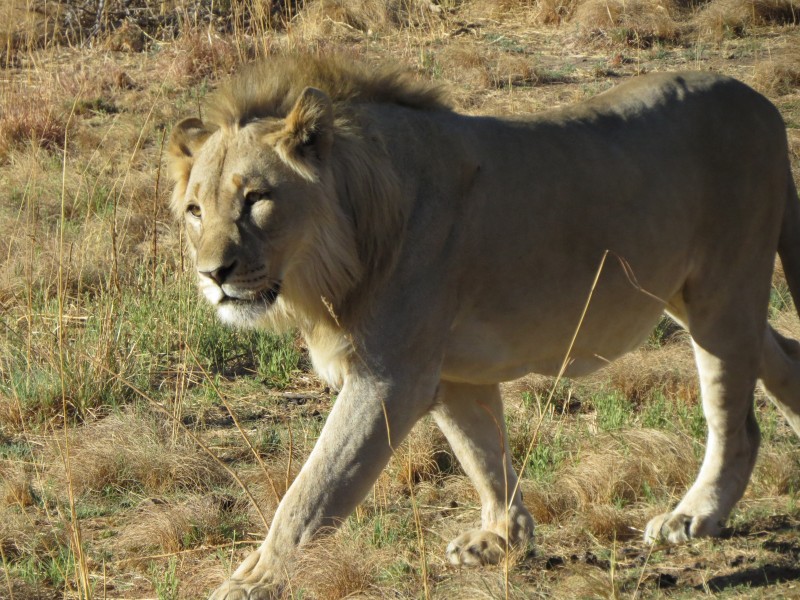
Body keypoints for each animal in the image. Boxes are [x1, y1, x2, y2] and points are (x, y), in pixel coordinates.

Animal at [167, 54, 800, 596]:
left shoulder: (389, 377)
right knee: (784, 355)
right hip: (693, 297)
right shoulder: (451, 374)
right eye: (196, 210)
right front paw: (502, 539)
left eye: (256, 198)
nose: (212, 274)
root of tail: (762, 102)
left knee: (737, 423)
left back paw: (693, 516)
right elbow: (483, 453)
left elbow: (311, 492)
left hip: (722, 292)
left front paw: (249, 583)